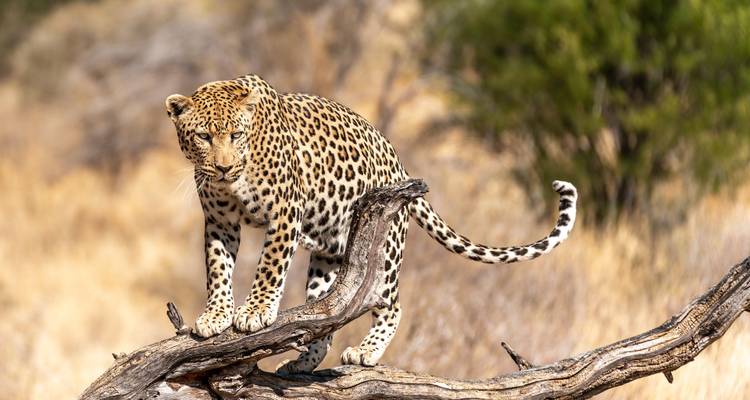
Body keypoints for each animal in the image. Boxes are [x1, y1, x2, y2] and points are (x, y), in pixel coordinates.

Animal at [165, 74, 578, 374]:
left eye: (236, 134)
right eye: (203, 136)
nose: (223, 167)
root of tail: (397, 159)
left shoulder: (285, 211)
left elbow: (269, 265)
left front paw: (253, 312)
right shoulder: (219, 222)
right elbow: (218, 268)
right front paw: (215, 315)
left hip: (387, 245)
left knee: (393, 304)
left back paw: (365, 351)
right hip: (330, 257)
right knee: (324, 319)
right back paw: (302, 361)